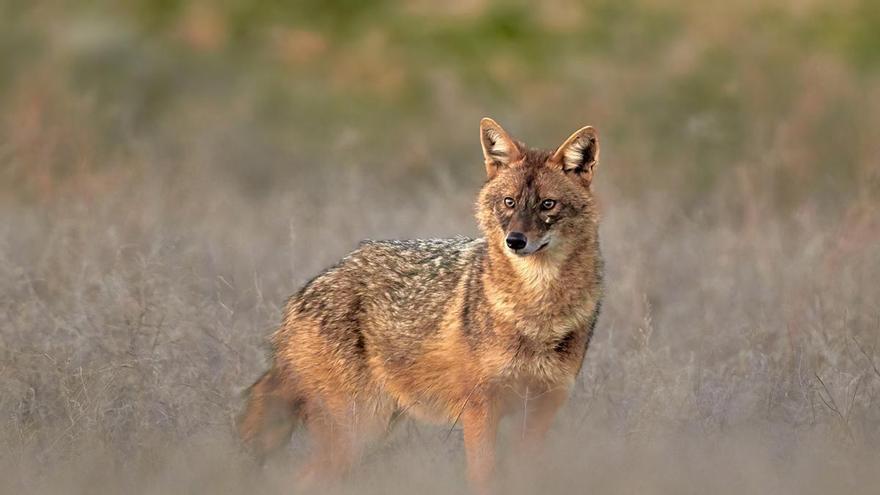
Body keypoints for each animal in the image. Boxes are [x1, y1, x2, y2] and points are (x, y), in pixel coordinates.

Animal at [238, 118, 604, 494]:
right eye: (509, 202)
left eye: (547, 204)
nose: (514, 241)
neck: (537, 312)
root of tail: (299, 296)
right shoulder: (480, 409)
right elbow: (483, 478)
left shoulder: (542, 411)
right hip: (359, 429)